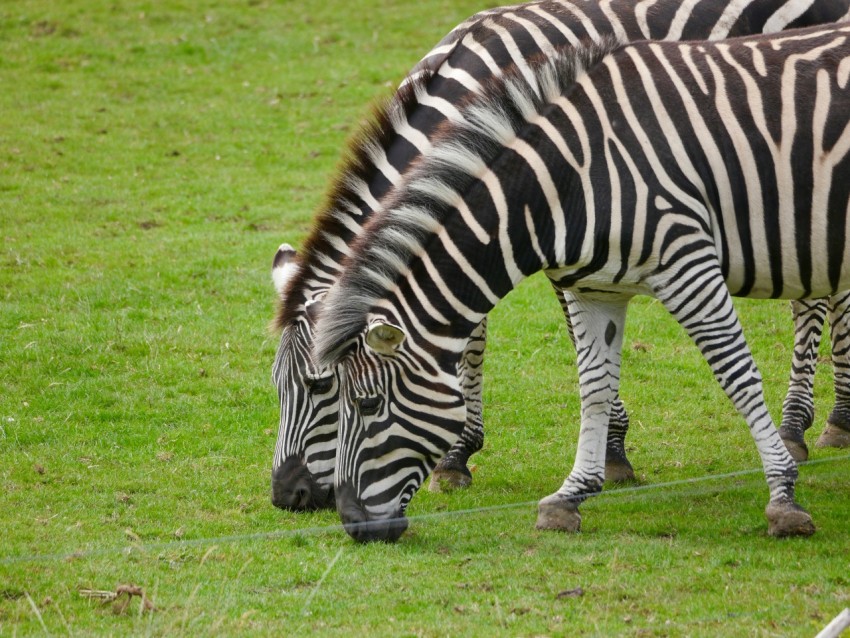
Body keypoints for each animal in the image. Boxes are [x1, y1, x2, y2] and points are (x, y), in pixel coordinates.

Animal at [270, 0, 850, 512]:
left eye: (323, 386)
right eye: (278, 387)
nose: (287, 496)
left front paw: (612, 449)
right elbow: (476, 335)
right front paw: (459, 455)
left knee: (817, 302)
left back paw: (813, 423)